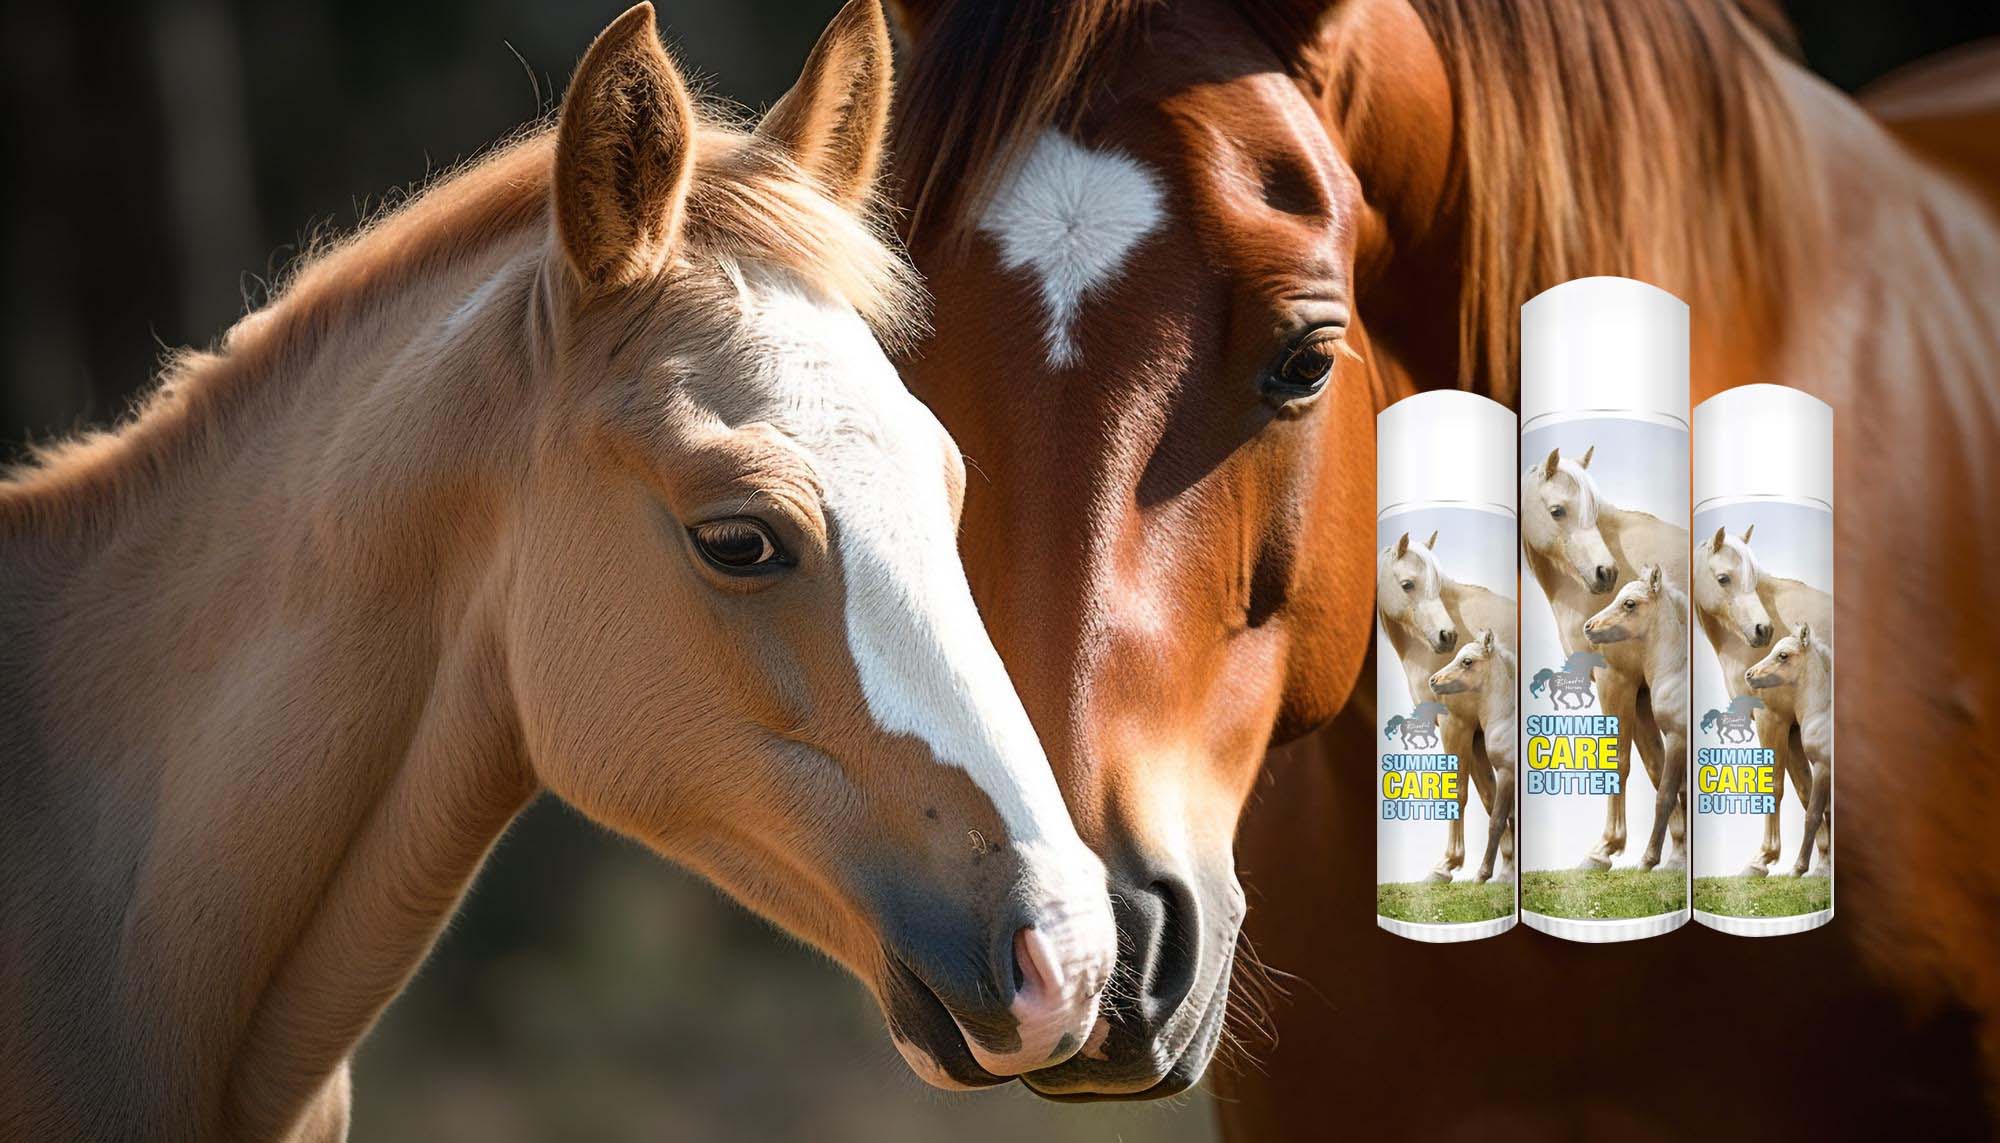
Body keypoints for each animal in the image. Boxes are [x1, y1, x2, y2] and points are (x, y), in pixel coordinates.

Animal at [1428, 629, 1518, 884]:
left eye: (1467, 661)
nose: (1433, 681)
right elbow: (1511, 818)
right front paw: (1507, 874)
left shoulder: (1507, 773)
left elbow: (1497, 821)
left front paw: (1483, 874)